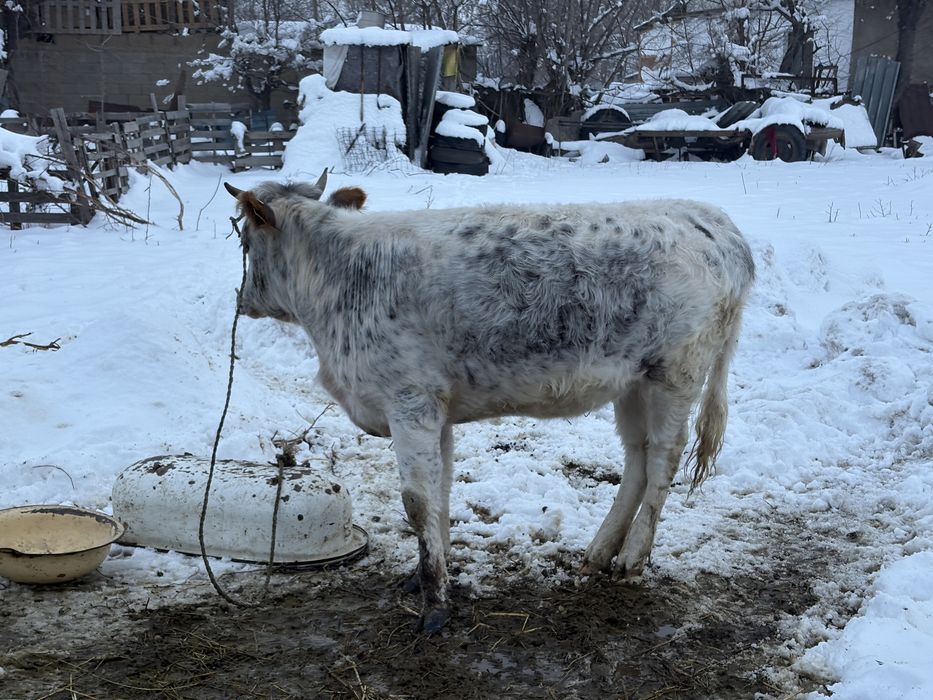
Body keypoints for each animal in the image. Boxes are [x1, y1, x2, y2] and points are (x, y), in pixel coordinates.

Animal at [223, 171, 755, 633]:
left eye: (245, 241)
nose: (241, 299)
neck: (341, 282)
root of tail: (713, 219)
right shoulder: (436, 411)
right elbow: (440, 493)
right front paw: (425, 575)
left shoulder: (410, 401)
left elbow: (416, 502)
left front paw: (434, 606)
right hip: (633, 383)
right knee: (637, 460)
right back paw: (599, 552)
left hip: (676, 373)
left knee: (664, 458)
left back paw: (632, 557)